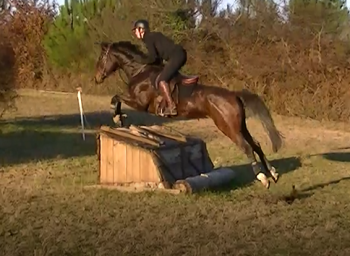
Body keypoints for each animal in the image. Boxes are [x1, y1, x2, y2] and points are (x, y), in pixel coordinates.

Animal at [93, 40, 284, 188]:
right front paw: (119, 118)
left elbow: (116, 97)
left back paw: (263, 178)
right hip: (240, 126)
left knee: (247, 147)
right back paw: (273, 173)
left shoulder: (139, 103)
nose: (96, 78)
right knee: (256, 144)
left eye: (101, 58)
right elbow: (117, 98)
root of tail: (234, 95)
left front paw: (117, 117)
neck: (139, 71)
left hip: (227, 127)